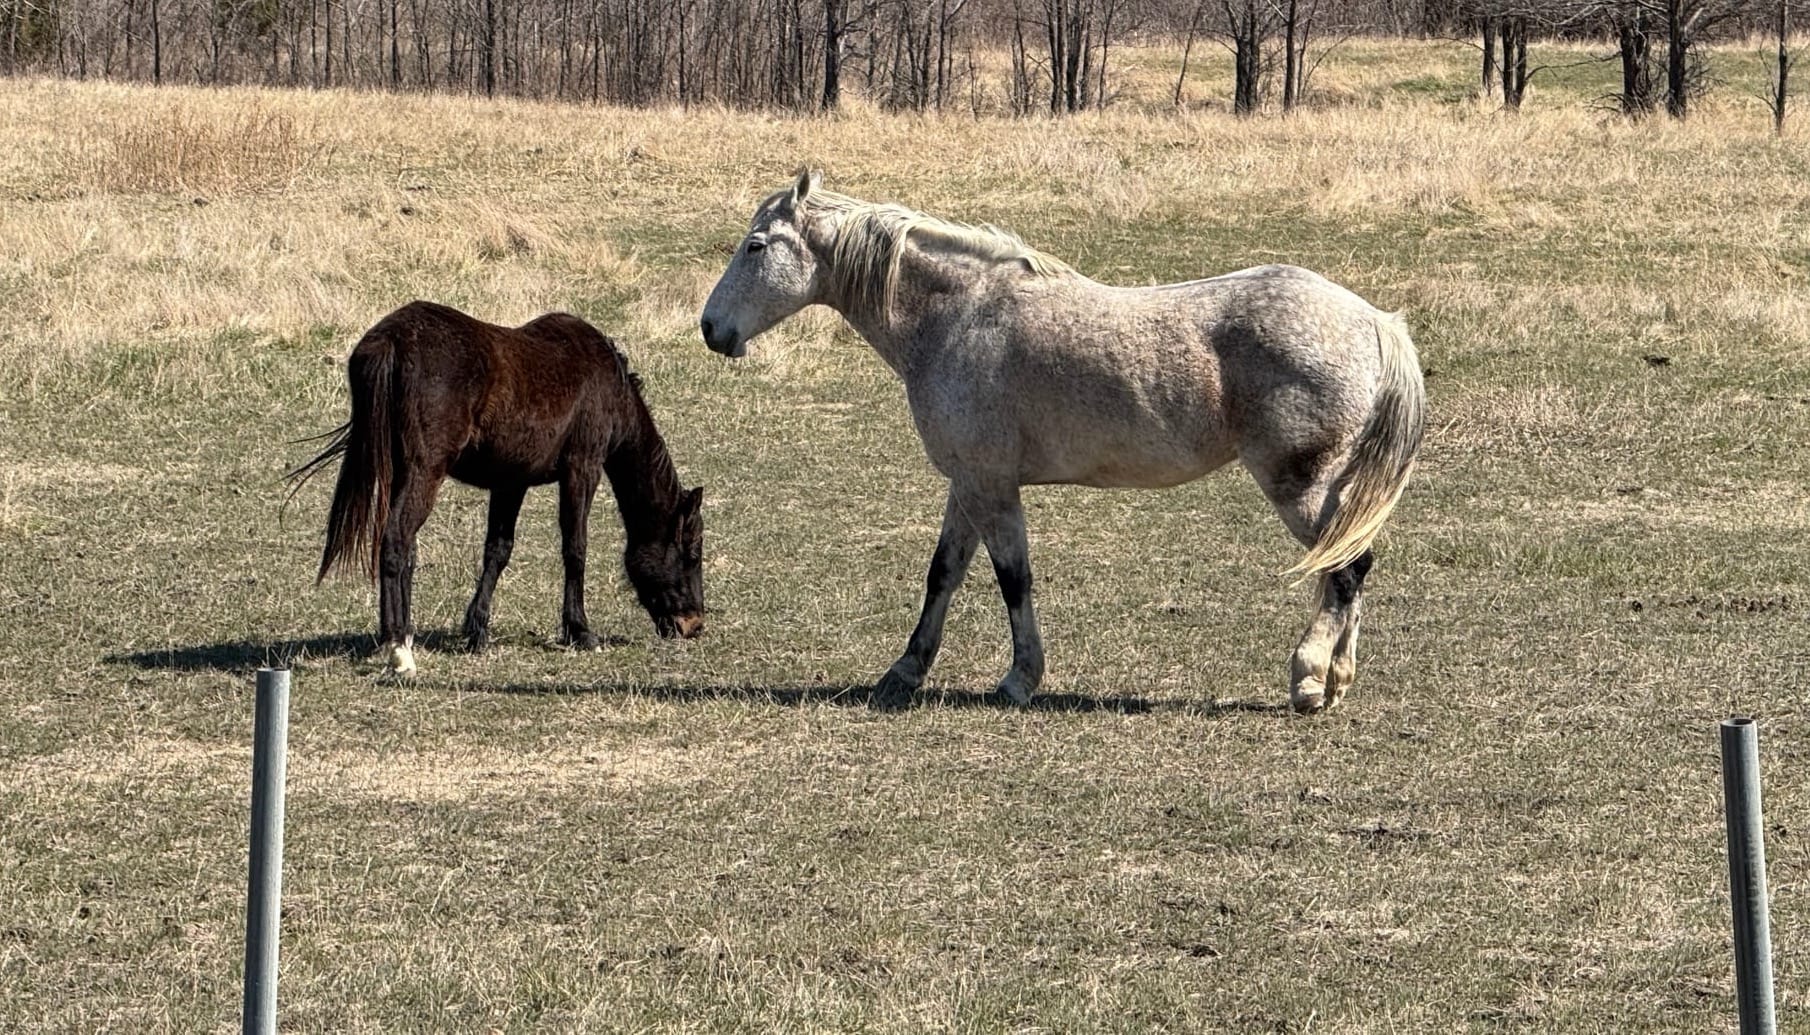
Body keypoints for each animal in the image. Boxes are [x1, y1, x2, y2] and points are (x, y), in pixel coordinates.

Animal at [290, 301, 706, 676]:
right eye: (692, 552)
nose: (694, 624)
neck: (608, 383)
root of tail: (391, 341)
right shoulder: (582, 469)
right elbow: (575, 549)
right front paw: (580, 630)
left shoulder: (511, 482)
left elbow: (497, 551)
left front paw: (477, 630)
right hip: (425, 472)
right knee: (396, 542)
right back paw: (399, 649)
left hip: (401, 474)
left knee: (401, 548)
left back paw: (397, 636)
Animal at [700, 171, 1423, 713]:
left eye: (756, 246)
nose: (711, 327)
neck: (957, 316)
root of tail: (1373, 321)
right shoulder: (969, 483)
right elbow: (943, 574)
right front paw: (905, 670)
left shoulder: (993, 487)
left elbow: (1013, 580)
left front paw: (1020, 678)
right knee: (1347, 566)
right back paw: (1337, 680)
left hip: (1299, 484)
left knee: (1345, 570)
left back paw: (1308, 678)